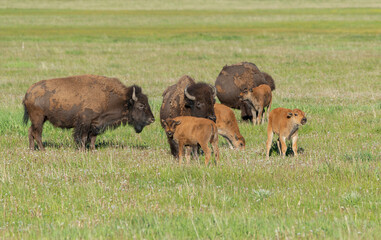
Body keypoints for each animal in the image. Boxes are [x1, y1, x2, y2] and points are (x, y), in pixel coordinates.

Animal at [22, 74, 154, 150]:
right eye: (141, 105)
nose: (152, 119)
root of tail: (29, 92)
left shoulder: (96, 124)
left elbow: (93, 137)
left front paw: (92, 149)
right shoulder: (85, 122)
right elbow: (83, 137)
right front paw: (82, 150)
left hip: (40, 119)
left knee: (30, 131)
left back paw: (32, 149)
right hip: (39, 118)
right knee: (37, 133)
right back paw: (42, 149)